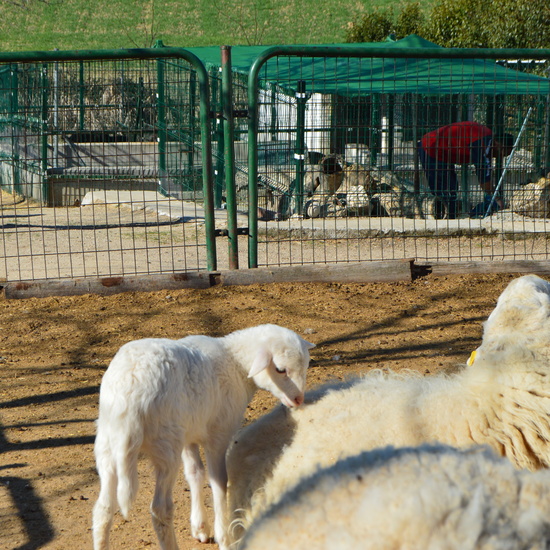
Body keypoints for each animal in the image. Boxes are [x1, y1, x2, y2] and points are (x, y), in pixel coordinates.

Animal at [91, 324, 314, 550]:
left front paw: (200, 527)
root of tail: (130, 390)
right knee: (160, 509)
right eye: (280, 369)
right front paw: (224, 537)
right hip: (165, 444)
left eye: (305, 365)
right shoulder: (218, 435)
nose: (298, 399)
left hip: (108, 442)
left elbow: (195, 473)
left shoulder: (190, 434)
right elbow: (219, 482)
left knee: (103, 508)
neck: (235, 364)